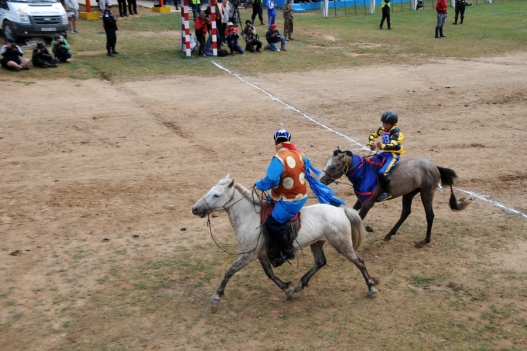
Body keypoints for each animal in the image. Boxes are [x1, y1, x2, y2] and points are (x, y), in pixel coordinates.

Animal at [191, 175, 380, 306]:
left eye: (216, 195)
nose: (195, 209)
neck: (250, 218)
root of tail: (340, 211)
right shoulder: (261, 255)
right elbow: (270, 274)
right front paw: (288, 289)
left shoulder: (247, 256)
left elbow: (229, 272)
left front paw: (216, 296)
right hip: (317, 243)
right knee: (320, 262)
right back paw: (300, 284)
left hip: (343, 245)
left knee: (360, 262)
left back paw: (371, 288)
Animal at [320, 150, 472, 246]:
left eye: (333, 166)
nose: (322, 180)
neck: (364, 173)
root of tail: (434, 166)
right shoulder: (360, 201)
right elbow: (351, 213)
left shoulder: (368, 204)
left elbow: (359, 217)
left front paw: (367, 228)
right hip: (409, 194)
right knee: (406, 212)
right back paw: (389, 234)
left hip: (426, 193)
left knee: (430, 215)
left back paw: (425, 240)